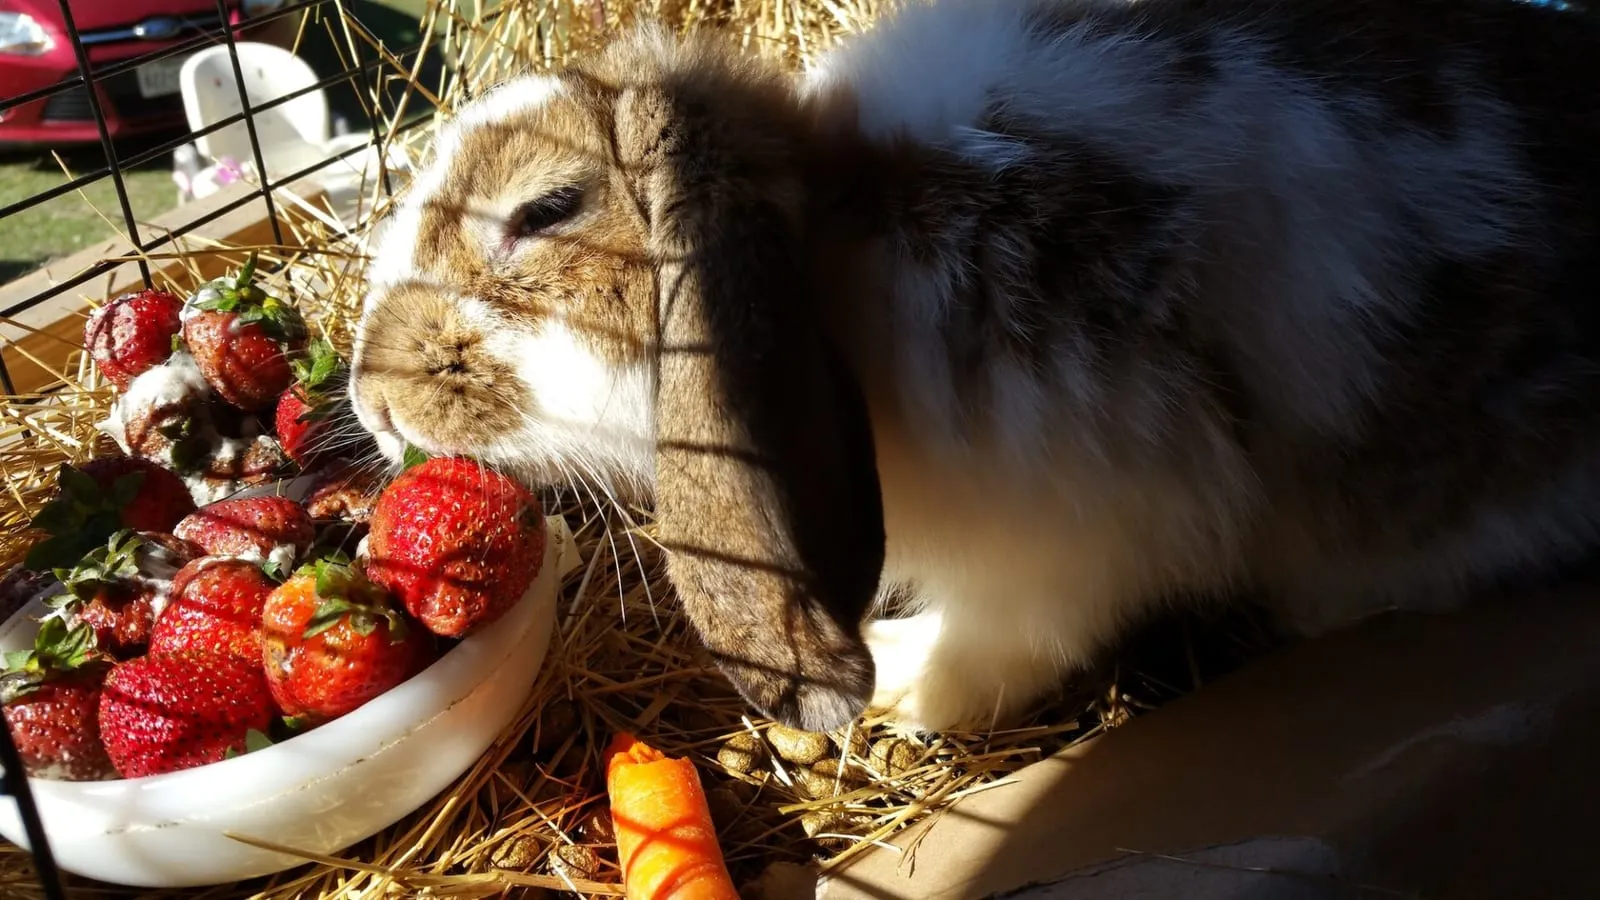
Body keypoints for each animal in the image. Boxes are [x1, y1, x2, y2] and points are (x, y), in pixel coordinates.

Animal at [346, 0, 1600, 734]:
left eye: (543, 211)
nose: (369, 397)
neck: (842, 246)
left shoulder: (1095, 511)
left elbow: (1018, 629)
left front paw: (910, 683)